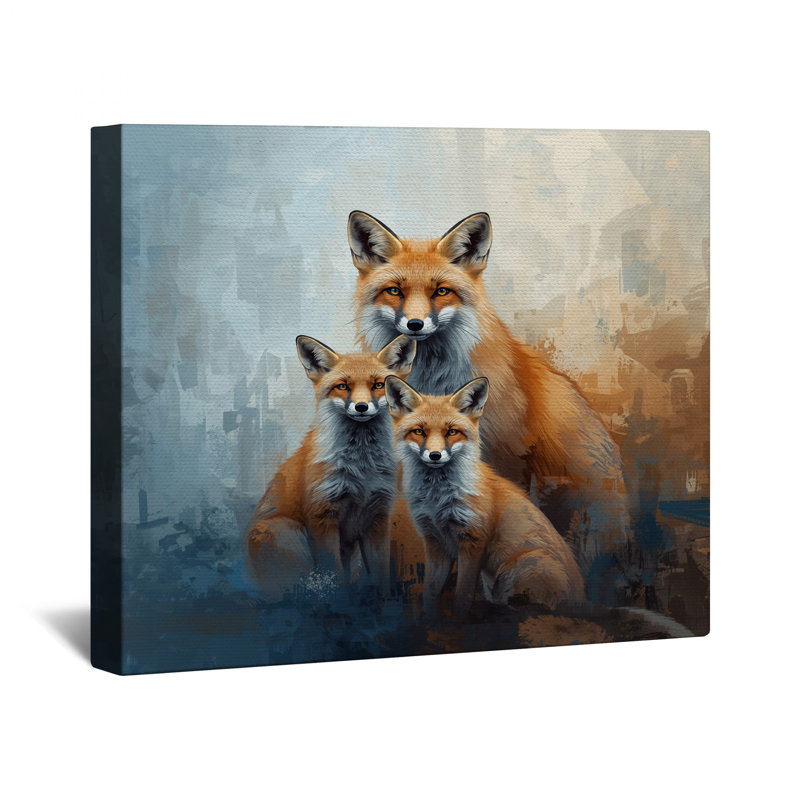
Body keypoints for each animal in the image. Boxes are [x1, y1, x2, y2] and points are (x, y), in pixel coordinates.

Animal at [246, 334, 416, 599]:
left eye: (378, 385)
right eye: (342, 386)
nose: (361, 407)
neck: (362, 469)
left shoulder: (377, 517)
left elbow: (381, 577)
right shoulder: (322, 516)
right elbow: (335, 578)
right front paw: (341, 603)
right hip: (287, 534)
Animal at [384, 375, 585, 621]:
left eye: (452, 432)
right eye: (419, 431)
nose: (435, 455)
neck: (437, 500)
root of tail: (581, 597)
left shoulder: (473, 540)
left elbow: (463, 595)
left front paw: (458, 621)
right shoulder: (434, 540)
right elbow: (430, 591)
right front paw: (430, 619)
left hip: (518, 569)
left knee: (534, 609)